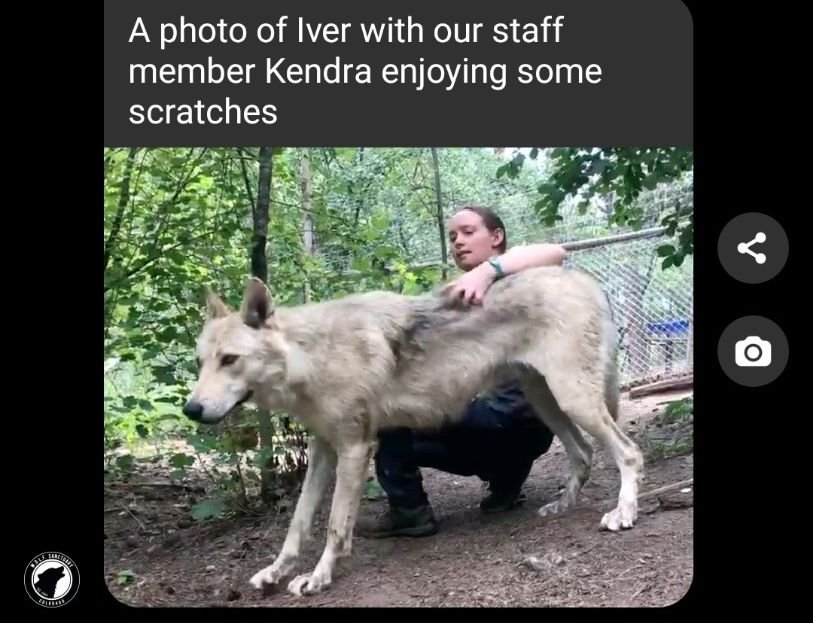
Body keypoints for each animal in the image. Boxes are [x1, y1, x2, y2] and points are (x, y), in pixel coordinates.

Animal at [183, 265, 644, 597]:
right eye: (201, 362)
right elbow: (298, 523)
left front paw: (318, 578)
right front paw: (276, 572)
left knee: (628, 452)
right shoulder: (323, 451)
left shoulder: (355, 448)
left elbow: (333, 525)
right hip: (549, 401)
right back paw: (562, 506)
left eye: (230, 359)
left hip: (573, 400)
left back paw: (623, 513)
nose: (191, 409)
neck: (311, 357)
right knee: (583, 454)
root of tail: (585, 279)